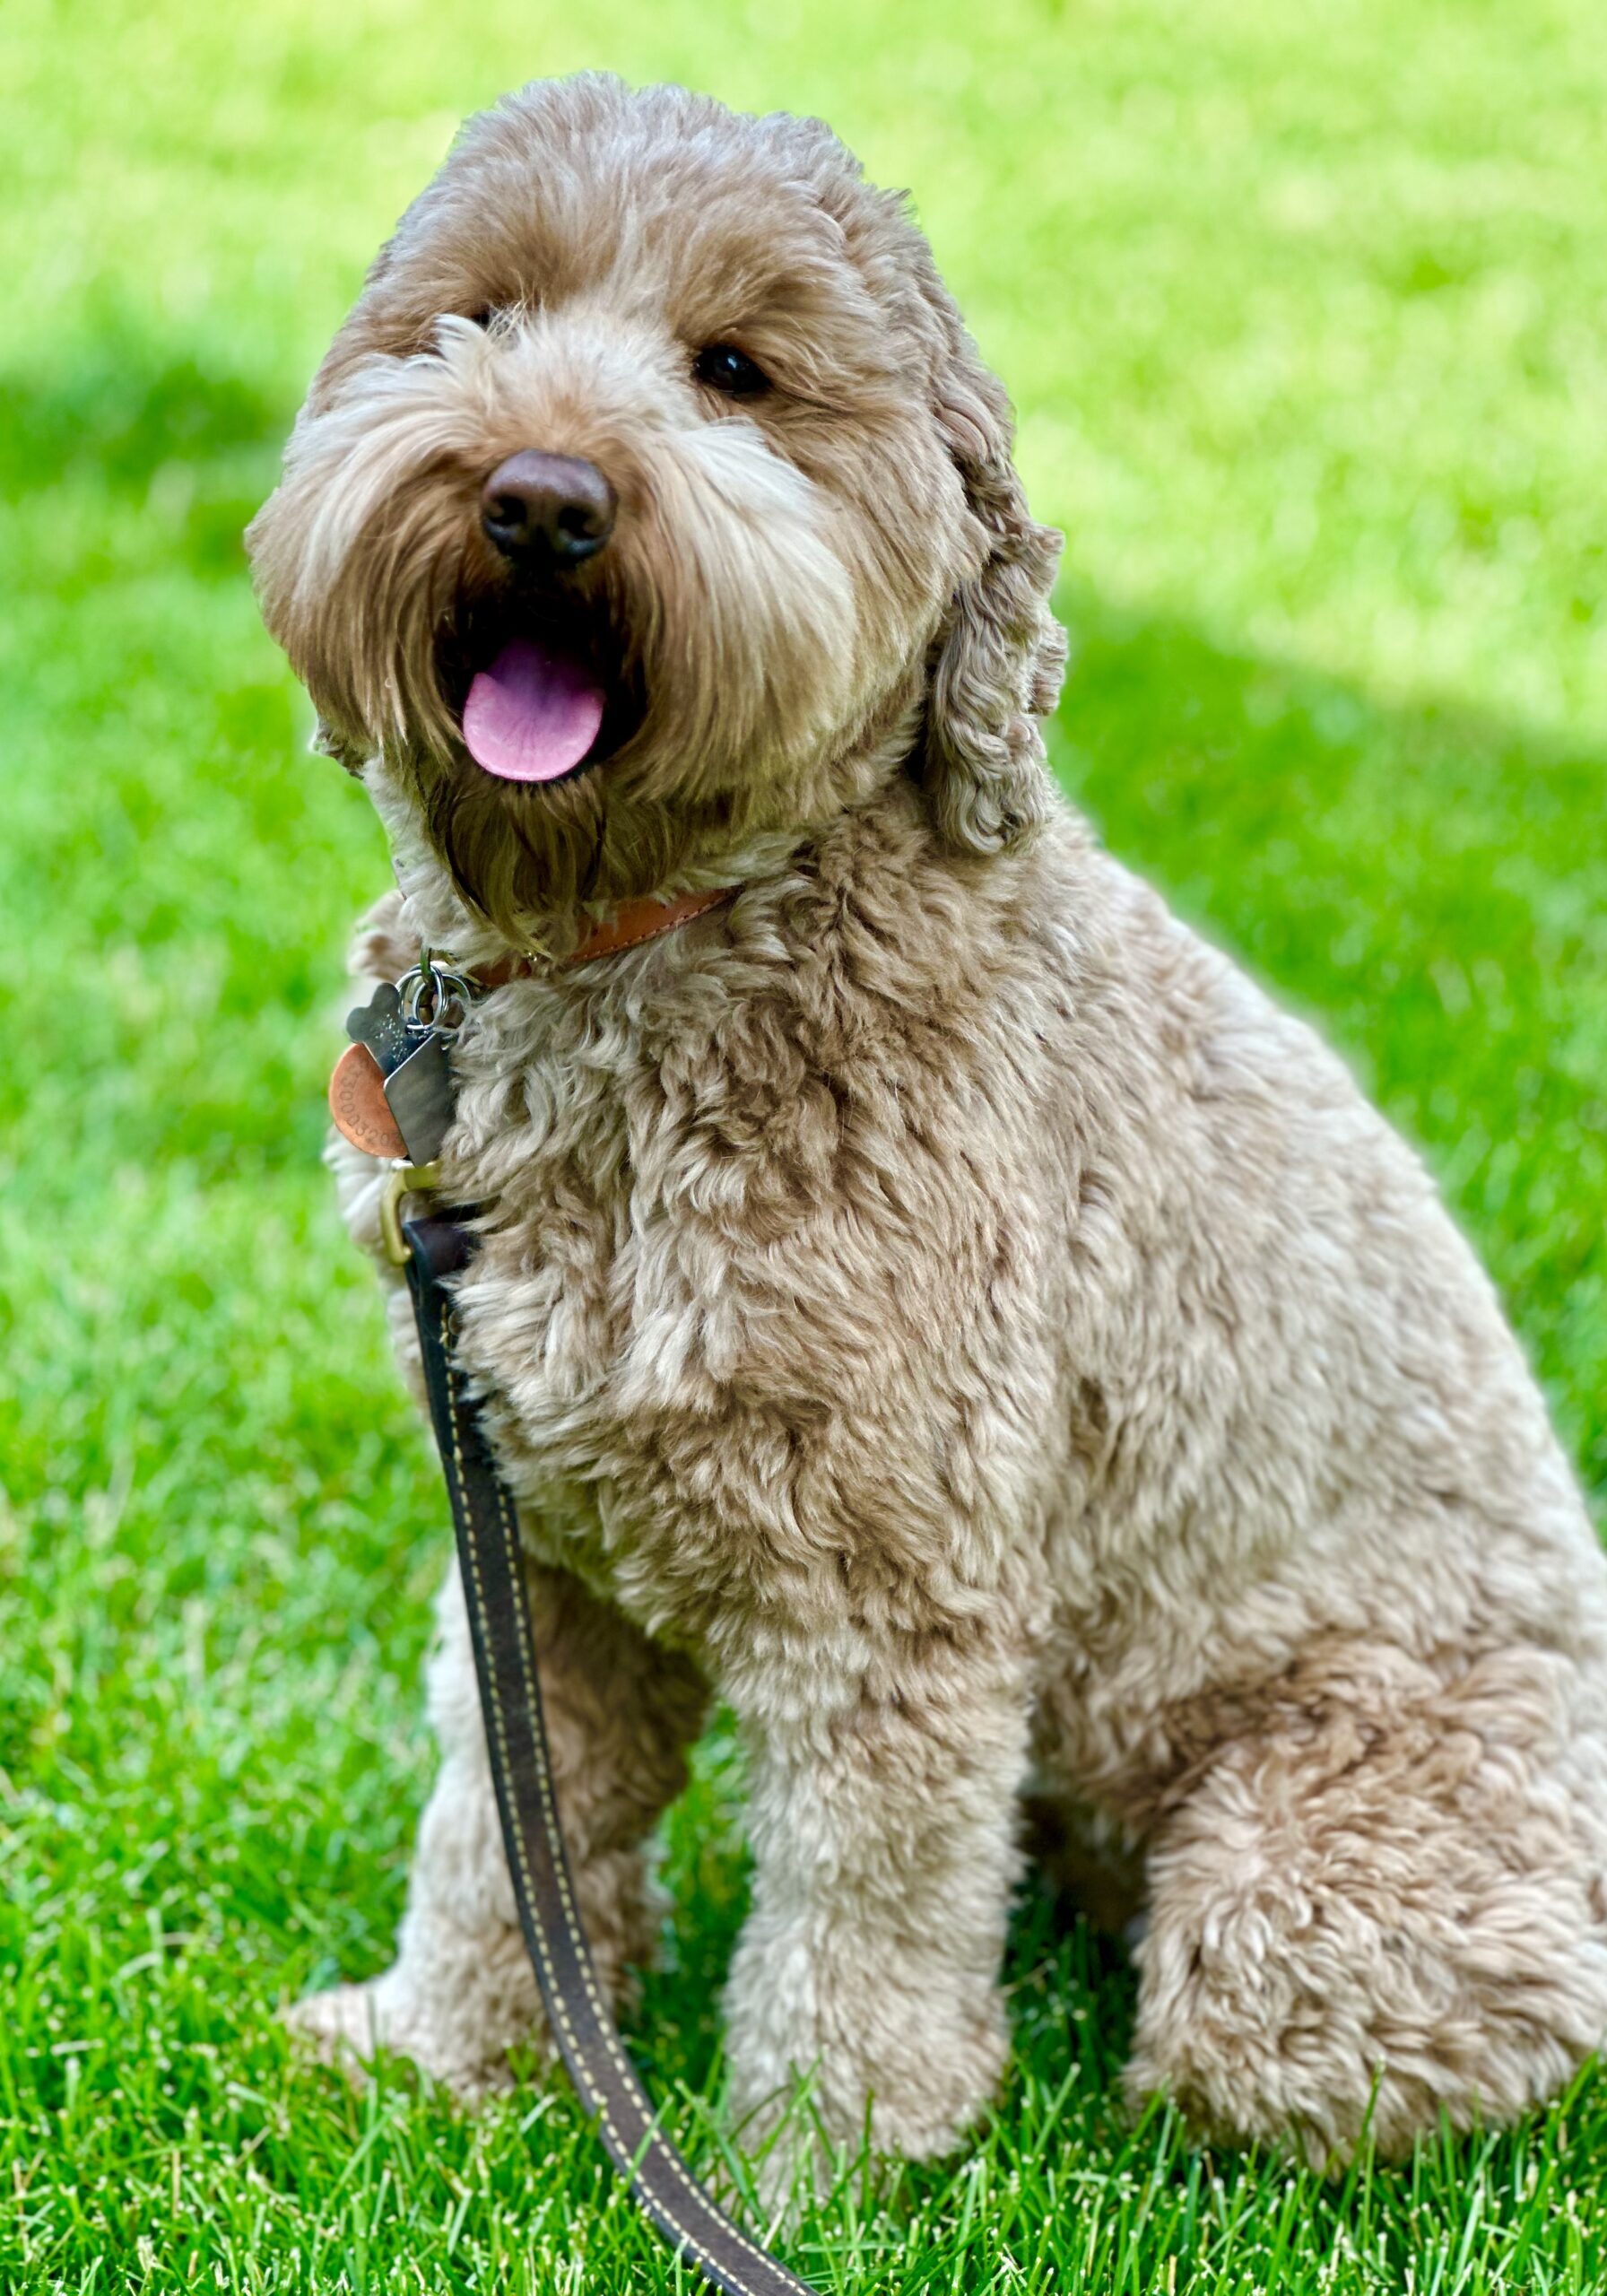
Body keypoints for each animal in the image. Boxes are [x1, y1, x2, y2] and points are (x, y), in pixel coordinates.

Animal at [244, 81, 1607, 2176]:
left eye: (735, 371)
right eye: (478, 315)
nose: (541, 497)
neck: (650, 930)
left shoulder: (893, 1581)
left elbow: (861, 1903)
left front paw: (818, 2164)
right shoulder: (528, 1548)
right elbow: (504, 1826)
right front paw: (444, 2050)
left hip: (1318, 1898)